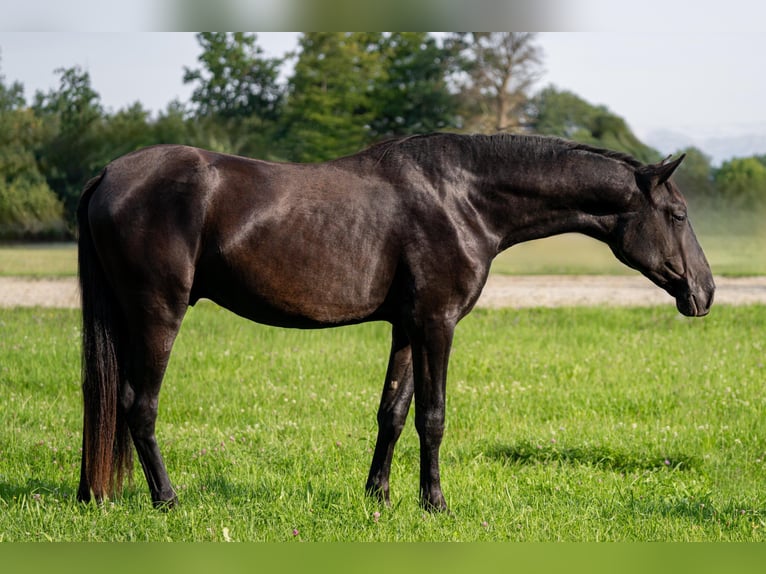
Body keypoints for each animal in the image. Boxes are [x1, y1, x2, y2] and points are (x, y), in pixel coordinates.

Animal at [76, 133, 715, 511]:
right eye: (679, 215)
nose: (705, 292)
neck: (462, 199)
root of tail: (108, 173)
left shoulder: (407, 327)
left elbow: (393, 412)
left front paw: (378, 496)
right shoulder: (438, 323)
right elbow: (432, 417)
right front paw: (434, 502)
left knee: (103, 402)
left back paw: (95, 494)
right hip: (157, 315)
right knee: (138, 406)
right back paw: (167, 499)